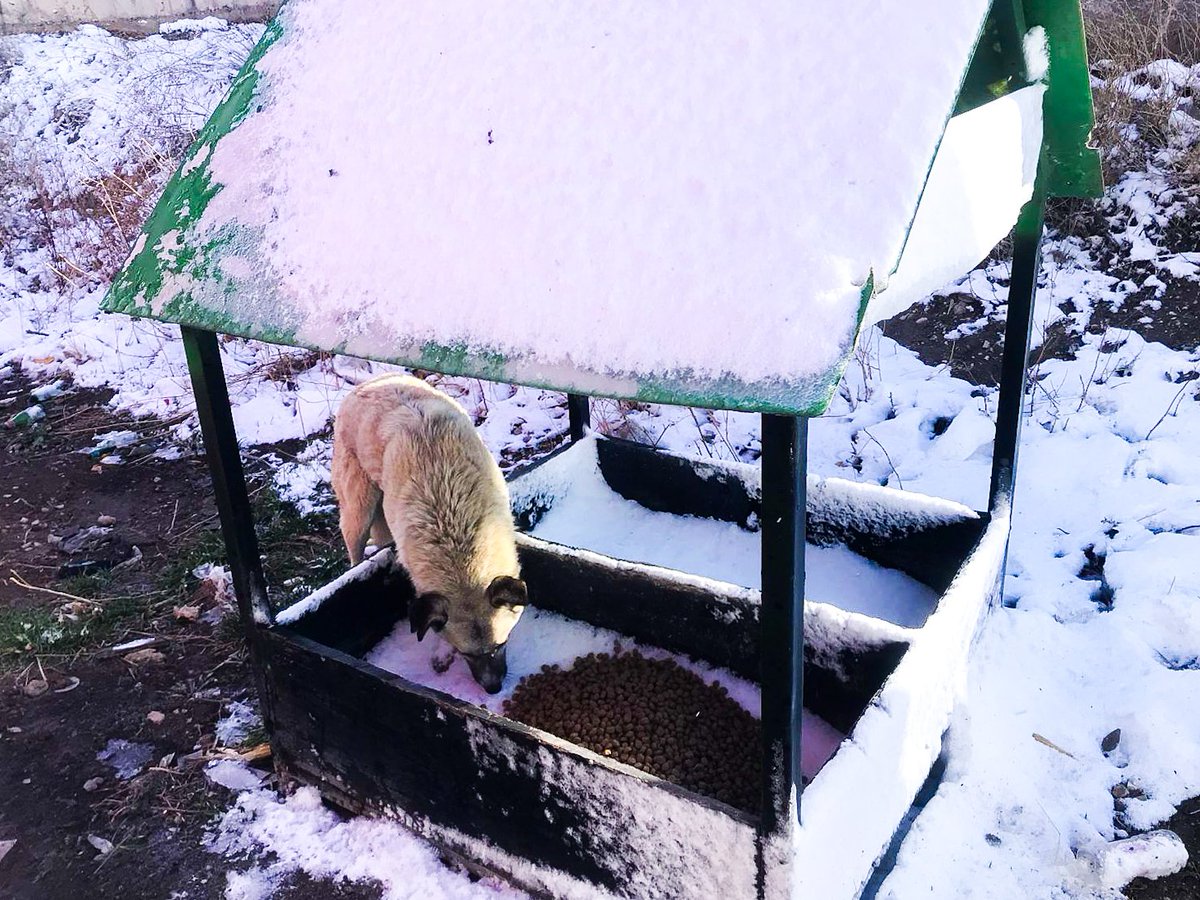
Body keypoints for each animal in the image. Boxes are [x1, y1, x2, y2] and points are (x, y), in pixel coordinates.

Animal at [333, 376, 530, 696]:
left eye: (502, 643)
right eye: (465, 654)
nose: (493, 689)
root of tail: (367, 384)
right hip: (359, 509)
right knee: (355, 550)